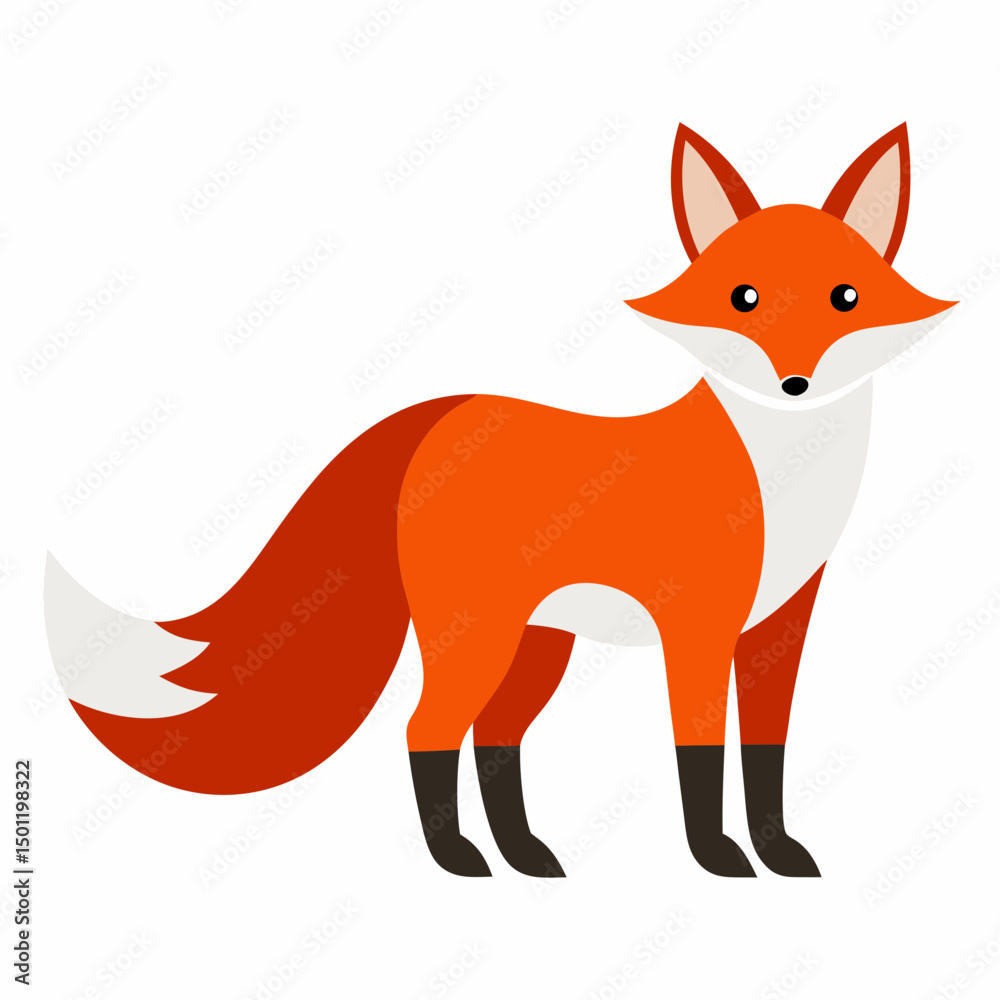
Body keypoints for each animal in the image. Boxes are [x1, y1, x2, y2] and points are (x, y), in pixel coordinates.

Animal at [45, 122, 956, 879]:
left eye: (846, 298)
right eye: (744, 300)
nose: (794, 383)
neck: (782, 471)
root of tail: (441, 417)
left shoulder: (779, 624)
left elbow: (767, 749)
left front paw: (779, 852)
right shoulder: (695, 626)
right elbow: (697, 751)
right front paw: (718, 858)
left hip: (535, 644)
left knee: (497, 738)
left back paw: (524, 855)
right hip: (480, 636)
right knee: (428, 730)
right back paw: (458, 859)